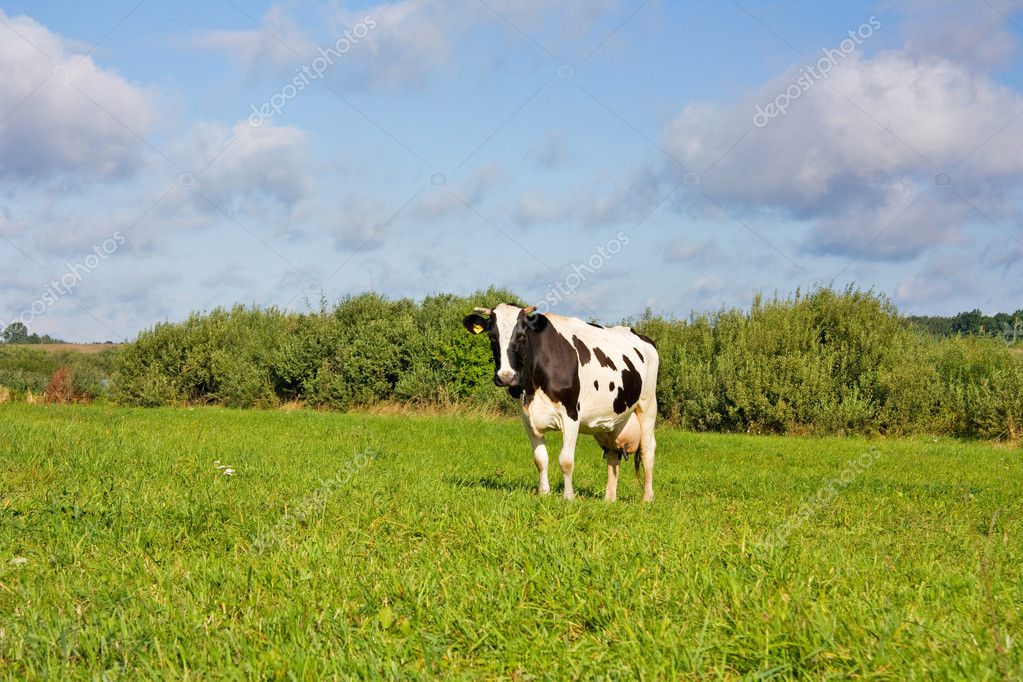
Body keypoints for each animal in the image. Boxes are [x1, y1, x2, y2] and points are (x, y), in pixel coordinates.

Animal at [463, 303, 659, 502]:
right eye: (491, 337)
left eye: (522, 336)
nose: (506, 377)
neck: (533, 385)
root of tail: (641, 336)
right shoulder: (527, 418)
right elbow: (540, 459)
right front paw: (544, 493)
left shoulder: (571, 414)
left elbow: (566, 460)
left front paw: (568, 497)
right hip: (612, 420)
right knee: (613, 454)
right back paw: (609, 500)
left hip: (648, 405)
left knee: (647, 451)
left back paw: (647, 498)